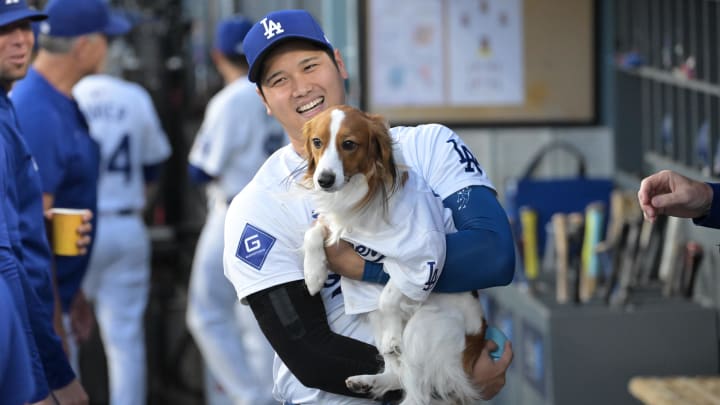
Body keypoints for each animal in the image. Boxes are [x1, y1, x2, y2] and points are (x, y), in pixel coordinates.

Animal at [298, 105, 490, 404]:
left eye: (349, 144)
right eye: (317, 142)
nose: (324, 180)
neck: (361, 192)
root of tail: (478, 337)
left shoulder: (424, 260)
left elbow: (390, 293)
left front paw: (392, 335)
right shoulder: (335, 227)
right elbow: (314, 232)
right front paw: (313, 272)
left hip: (424, 326)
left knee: (416, 390)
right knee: (396, 372)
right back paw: (368, 382)